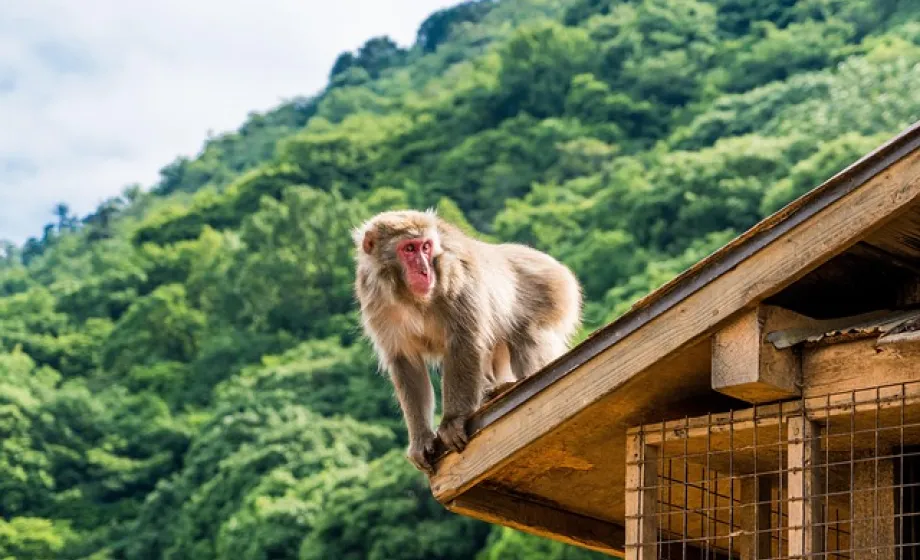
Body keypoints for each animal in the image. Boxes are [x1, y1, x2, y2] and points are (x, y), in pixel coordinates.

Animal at [352, 209, 582, 474]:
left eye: (426, 247)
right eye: (409, 249)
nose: (425, 271)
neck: (410, 297)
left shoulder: (455, 277)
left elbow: (464, 342)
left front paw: (453, 421)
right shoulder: (375, 299)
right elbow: (406, 362)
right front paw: (420, 438)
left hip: (554, 293)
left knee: (528, 337)